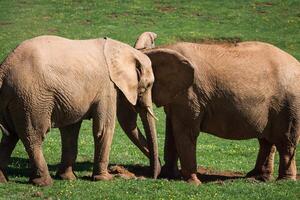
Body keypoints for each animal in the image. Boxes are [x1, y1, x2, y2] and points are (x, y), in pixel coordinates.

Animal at [0, 35, 161, 186]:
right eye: (148, 85)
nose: (152, 176)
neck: (122, 50)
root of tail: (4, 69)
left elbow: (70, 131)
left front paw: (68, 178)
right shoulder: (107, 86)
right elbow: (104, 128)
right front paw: (105, 179)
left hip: (17, 99)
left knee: (9, 136)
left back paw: (4, 181)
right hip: (31, 99)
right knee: (34, 136)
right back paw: (44, 183)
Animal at [141, 41, 300, 186]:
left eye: (145, 86)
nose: (152, 176)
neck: (159, 49)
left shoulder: (190, 95)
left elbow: (186, 132)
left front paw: (193, 182)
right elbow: (172, 130)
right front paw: (168, 176)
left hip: (290, 104)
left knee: (286, 140)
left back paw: (284, 181)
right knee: (266, 141)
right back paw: (256, 178)